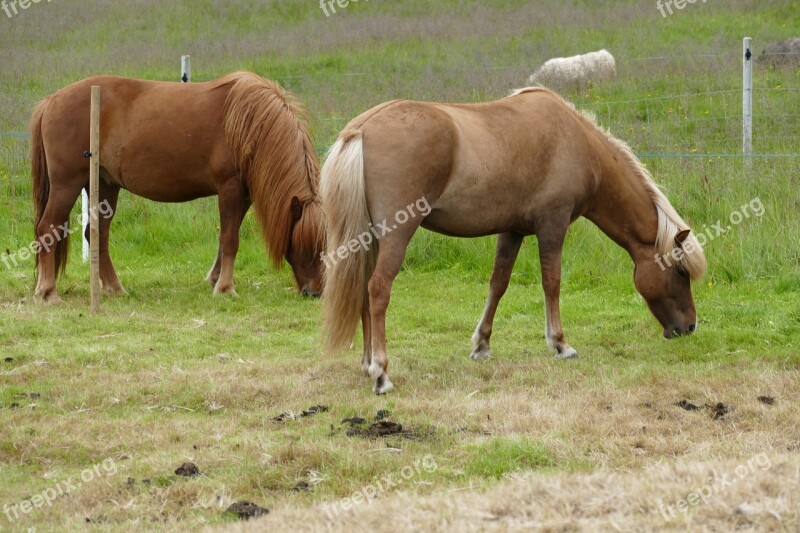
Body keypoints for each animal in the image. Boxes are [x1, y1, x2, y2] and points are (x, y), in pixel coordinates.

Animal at [30, 71, 324, 304]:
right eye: (305, 244)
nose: (315, 293)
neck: (250, 122)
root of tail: (51, 101)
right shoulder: (229, 189)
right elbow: (230, 239)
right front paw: (225, 288)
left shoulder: (243, 196)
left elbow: (227, 237)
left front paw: (215, 279)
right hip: (67, 184)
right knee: (48, 229)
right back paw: (48, 292)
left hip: (104, 186)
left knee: (97, 233)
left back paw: (114, 287)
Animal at [318, 88, 708, 394]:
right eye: (680, 272)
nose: (689, 327)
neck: (577, 141)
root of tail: (361, 129)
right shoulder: (552, 224)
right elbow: (552, 282)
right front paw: (560, 344)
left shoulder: (513, 231)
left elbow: (498, 283)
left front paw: (482, 344)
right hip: (397, 234)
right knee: (378, 290)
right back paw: (381, 373)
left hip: (368, 240)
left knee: (363, 292)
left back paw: (367, 363)